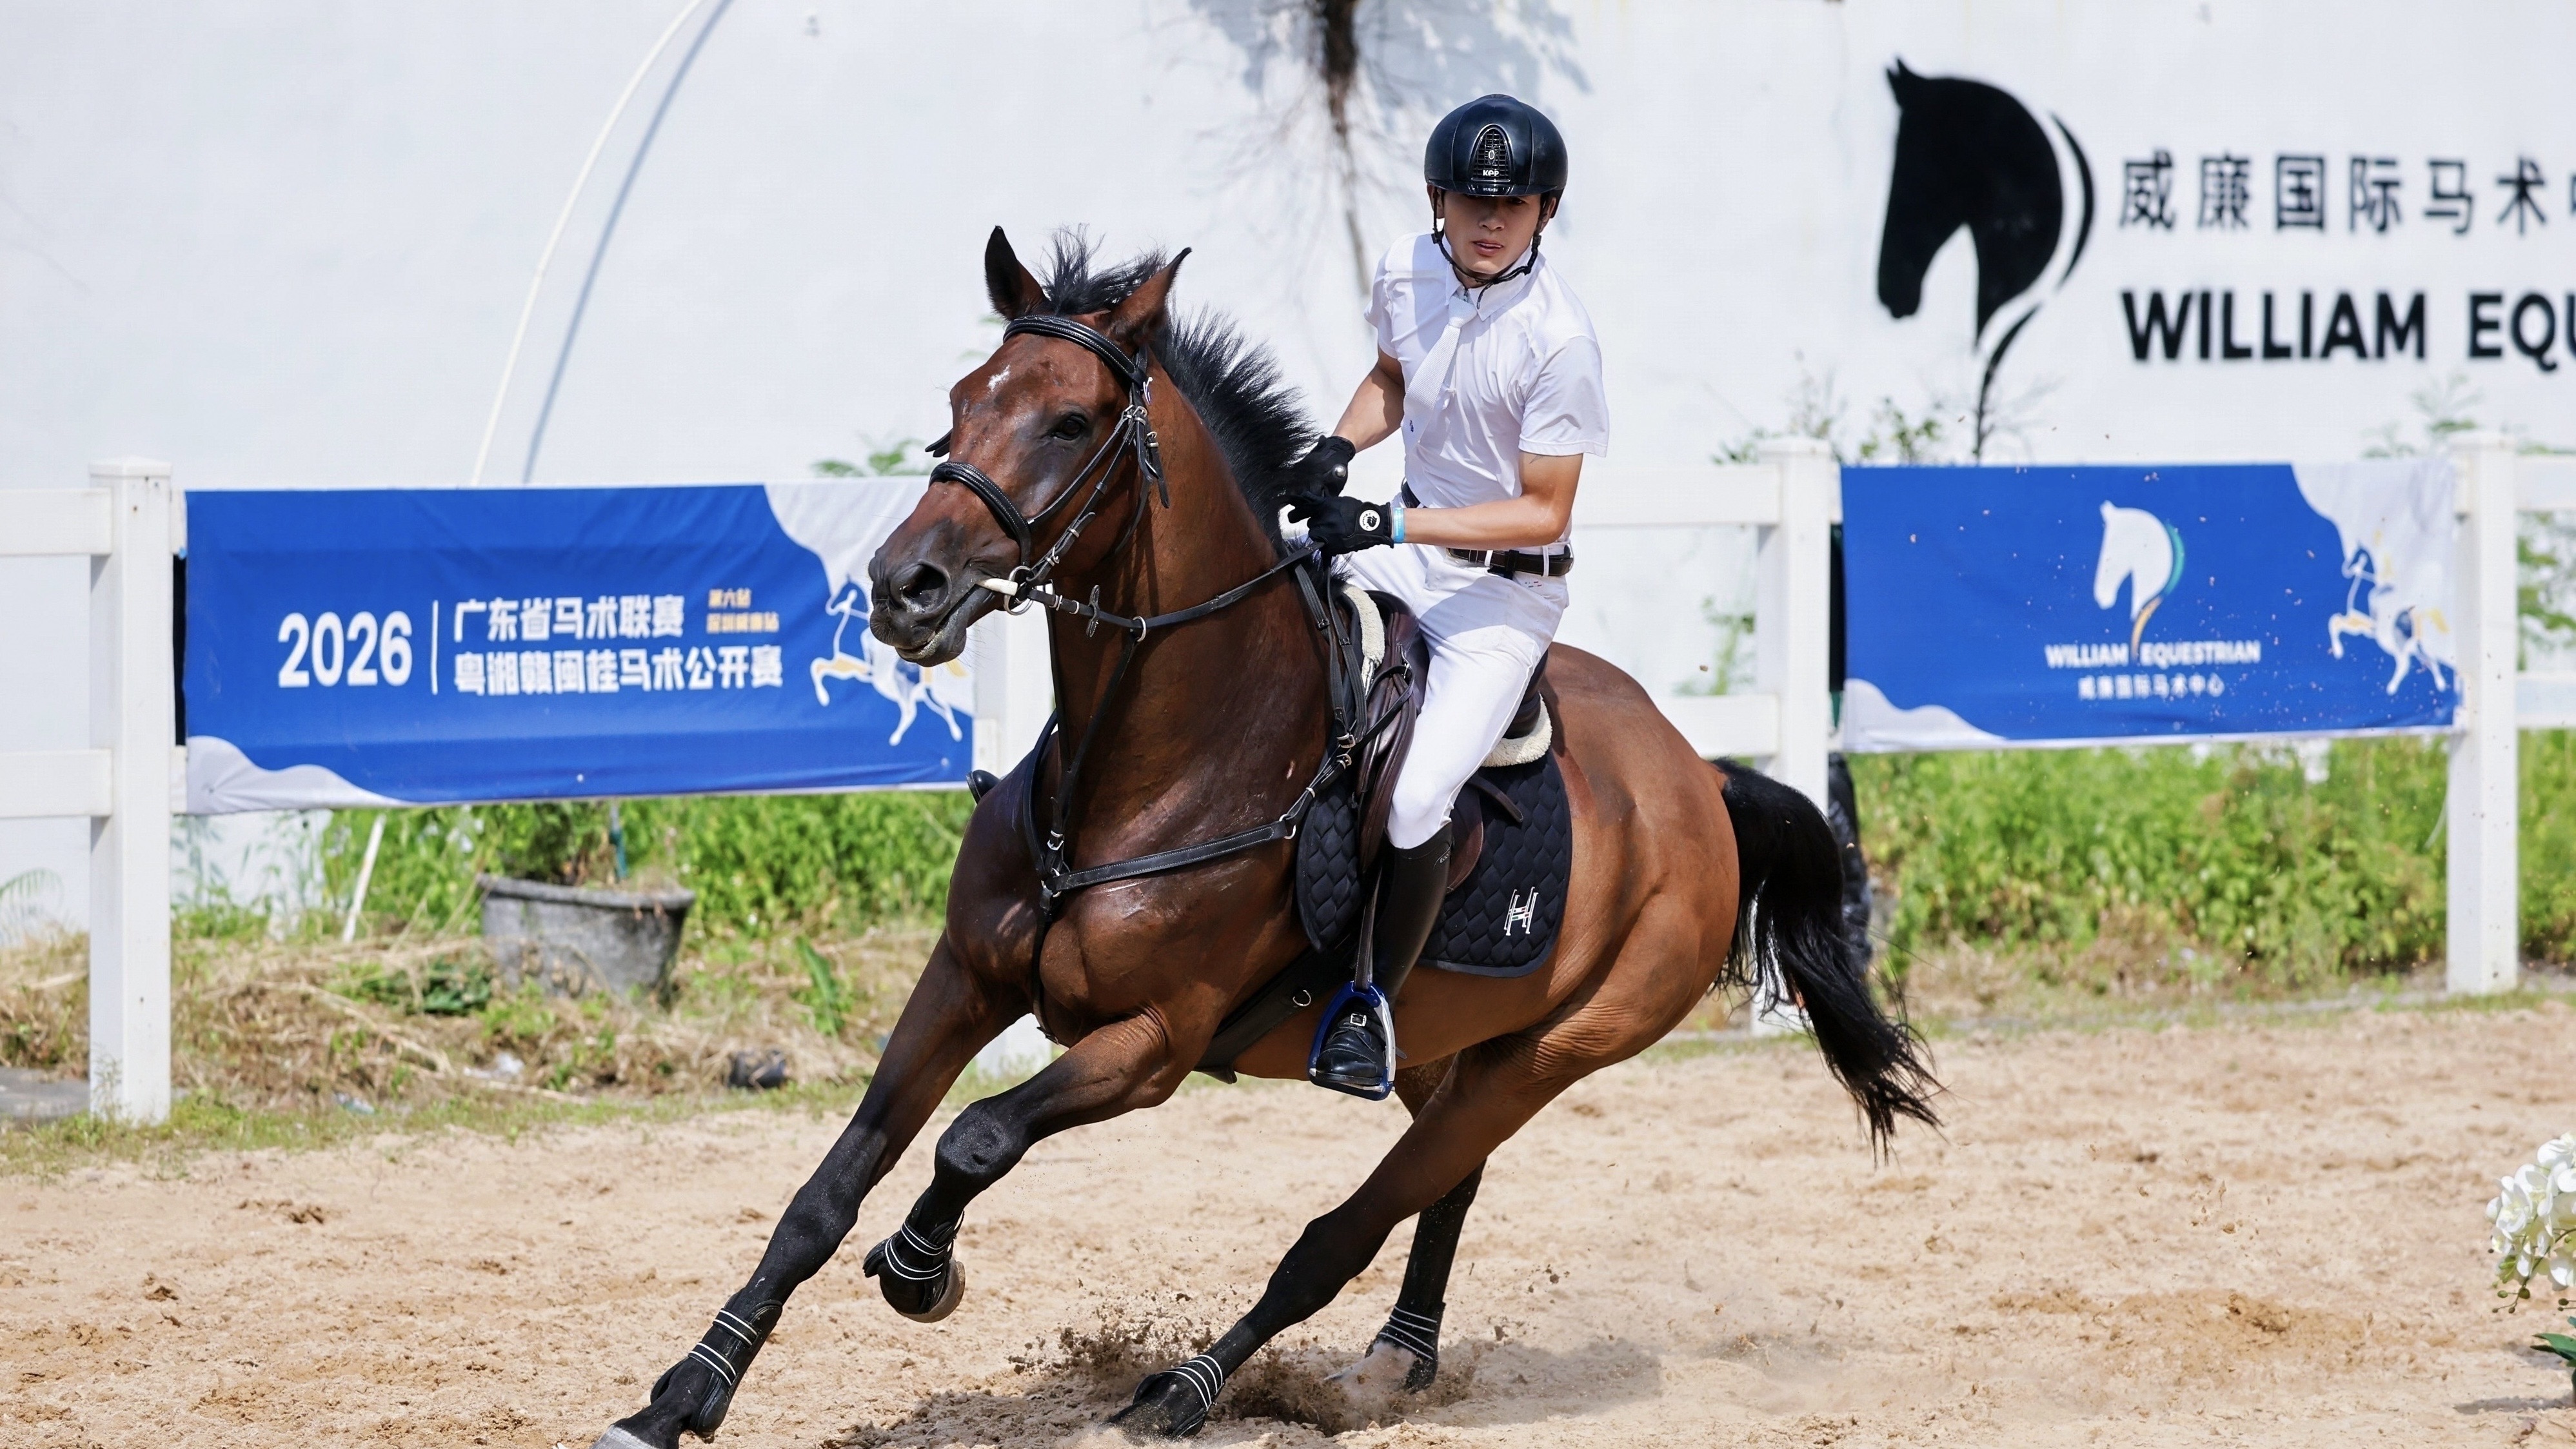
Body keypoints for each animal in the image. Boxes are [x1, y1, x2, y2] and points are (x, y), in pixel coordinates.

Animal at [590, 229, 1938, 1448]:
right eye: (963, 403)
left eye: (1070, 422)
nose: (902, 588)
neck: (1143, 770)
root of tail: (1697, 780)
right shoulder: (962, 982)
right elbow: (826, 1187)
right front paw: (680, 1396)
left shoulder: (1152, 1043)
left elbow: (975, 1138)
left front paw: (924, 1269)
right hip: (1448, 1048)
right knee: (1442, 1183)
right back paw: (1390, 1367)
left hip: (1550, 1055)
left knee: (1340, 1232)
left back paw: (1187, 1388)